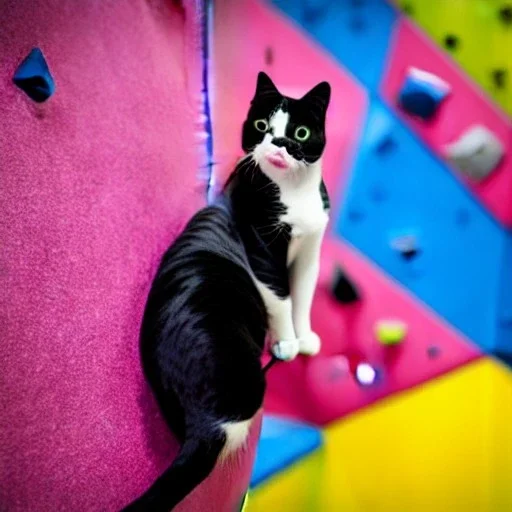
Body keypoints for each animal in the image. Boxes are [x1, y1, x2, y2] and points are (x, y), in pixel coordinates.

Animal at [124, 73, 332, 512]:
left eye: (300, 133)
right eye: (261, 126)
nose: (277, 143)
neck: (294, 192)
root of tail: (203, 422)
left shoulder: (311, 249)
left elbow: (304, 292)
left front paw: (305, 337)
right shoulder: (262, 248)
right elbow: (282, 296)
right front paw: (288, 342)